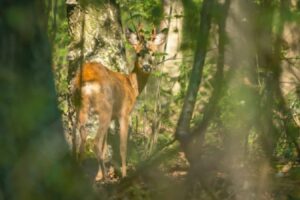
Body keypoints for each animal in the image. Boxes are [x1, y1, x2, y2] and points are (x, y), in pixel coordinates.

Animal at [72, 26, 166, 180]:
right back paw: (105, 177)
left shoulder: (112, 117)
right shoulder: (124, 112)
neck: (132, 86)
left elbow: (105, 146)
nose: (147, 67)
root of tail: (86, 80)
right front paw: (124, 175)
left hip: (81, 107)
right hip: (105, 107)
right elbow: (122, 147)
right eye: (138, 53)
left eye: (153, 53)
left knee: (82, 138)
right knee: (95, 142)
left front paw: (98, 175)